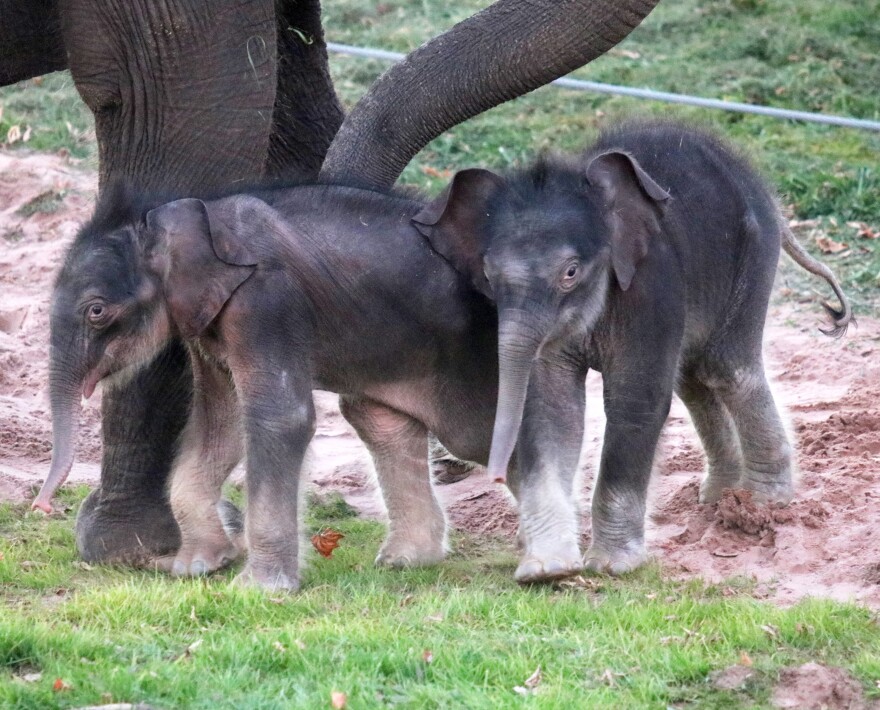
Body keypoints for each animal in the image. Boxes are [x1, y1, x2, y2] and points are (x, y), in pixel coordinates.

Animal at [414, 122, 852, 580]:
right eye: (488, 275)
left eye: (571, 272)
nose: (495, 476)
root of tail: (766, 193)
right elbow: (552, 408)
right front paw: (548, 568)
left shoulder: (650, 285)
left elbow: (635, 400)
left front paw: (610, 567)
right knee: (692, 378)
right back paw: (720, 497)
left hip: (751, 256)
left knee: (727, 369)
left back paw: (765, 503)